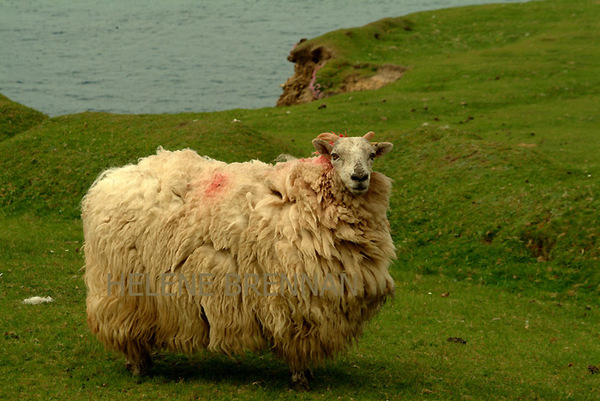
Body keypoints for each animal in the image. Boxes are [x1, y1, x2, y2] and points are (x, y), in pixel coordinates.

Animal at [82, 131, 396, 390]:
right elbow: (297, 346)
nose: (359, 177)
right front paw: (301, 380)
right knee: (125, 329)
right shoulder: (297, 301)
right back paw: (138, 366)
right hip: (123, 290)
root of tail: (110, 178)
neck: (306, 202)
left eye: (371, 155)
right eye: (335, 155)